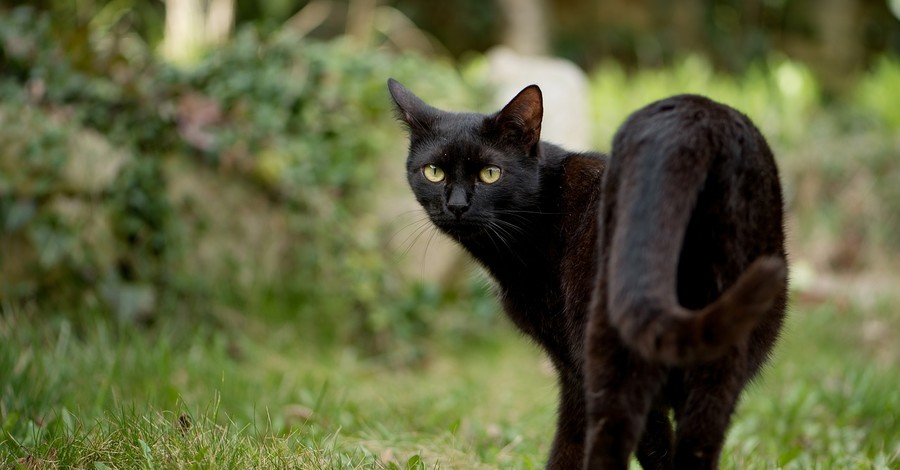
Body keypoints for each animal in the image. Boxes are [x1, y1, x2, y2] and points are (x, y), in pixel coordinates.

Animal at [386, 79, 788, 468]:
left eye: (490, 174)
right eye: (433, 172)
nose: (456, 205)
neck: (546, 212)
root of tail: (696, 122)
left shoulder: (572, 364)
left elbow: (573, 445)